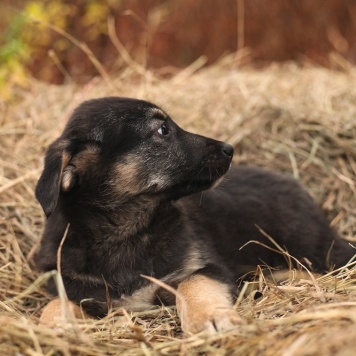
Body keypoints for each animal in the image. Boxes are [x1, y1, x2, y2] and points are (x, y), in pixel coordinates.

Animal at [33, 96, 354, 334]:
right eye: (162, 130)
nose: (229, 149)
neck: (126, 229)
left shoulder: (208, 266)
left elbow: (194, 283)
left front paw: (209, 317)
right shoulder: (74, 286)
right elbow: (54, 304)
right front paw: (53, 329)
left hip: (311, 248)